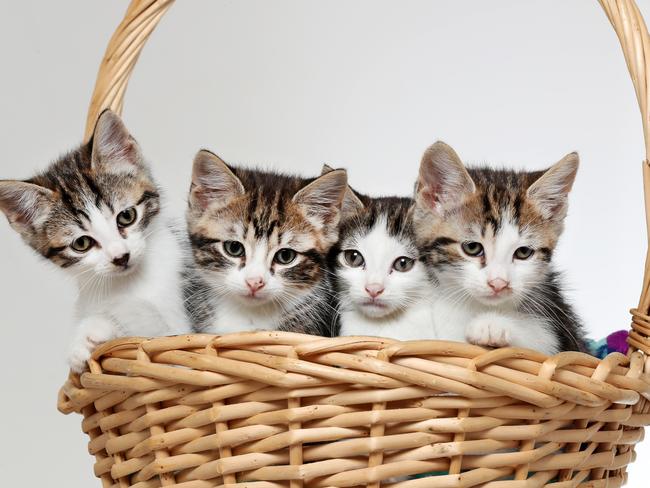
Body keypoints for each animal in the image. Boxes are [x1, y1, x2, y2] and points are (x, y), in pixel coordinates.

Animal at [0, 109, 192, 370]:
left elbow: (168, 345)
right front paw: (83, 340)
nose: (121, 257)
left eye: (126, 216)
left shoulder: (181, 324)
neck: (129, 285)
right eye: (81, 244)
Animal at [412, 141, 584, 354]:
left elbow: (538, 339)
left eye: (523, 252)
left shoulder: (558, 334)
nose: (499, 284)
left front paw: (492, 325)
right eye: (472, 248)